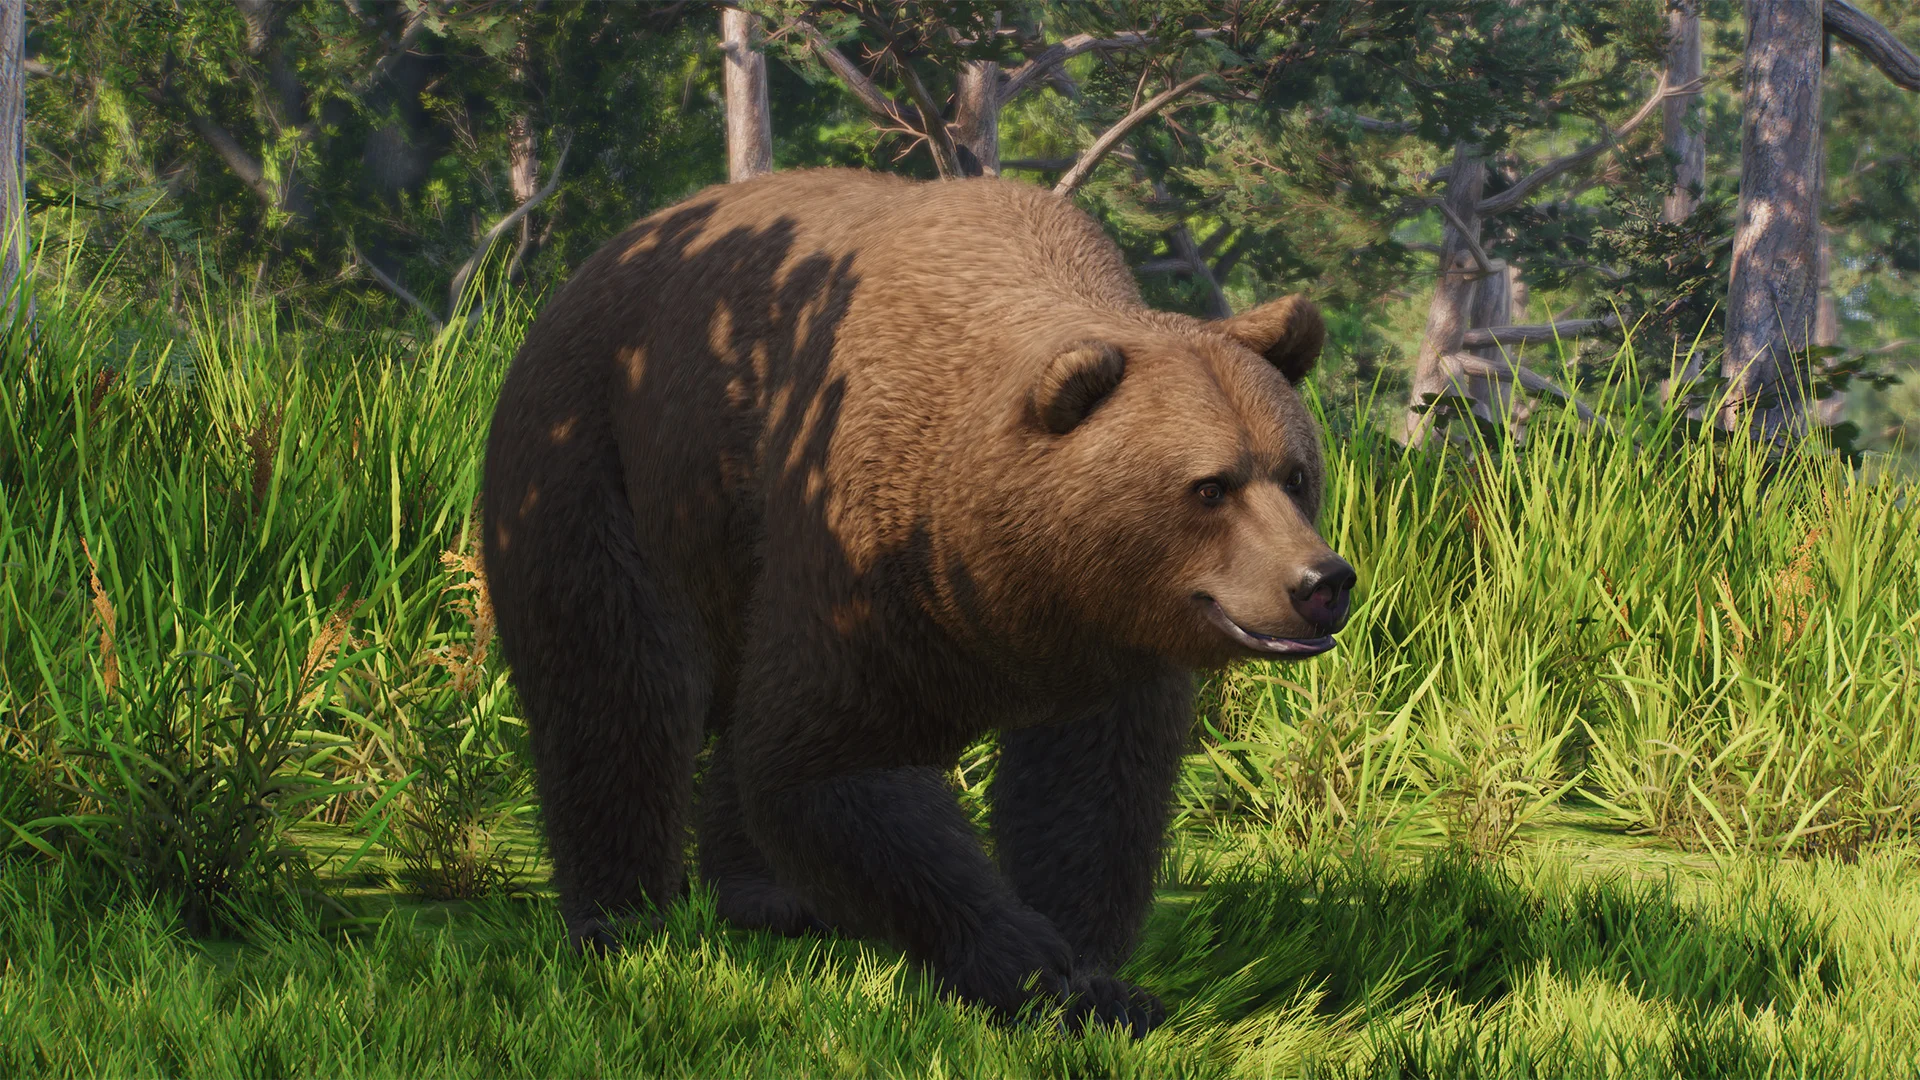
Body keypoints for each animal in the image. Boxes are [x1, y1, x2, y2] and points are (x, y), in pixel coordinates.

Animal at [481, 168, 1354, 1037]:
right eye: (1210, 487)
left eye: (1295, 472)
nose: (1321, 582)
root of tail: (601, 257)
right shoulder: (861, 545)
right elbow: (829, 763)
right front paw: (1025, 964)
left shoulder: (1108, 637)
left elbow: (1093, 794)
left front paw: (1103, 982)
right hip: (599, 461)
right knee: (617, 689)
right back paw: (622, 924)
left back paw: (771, 899)